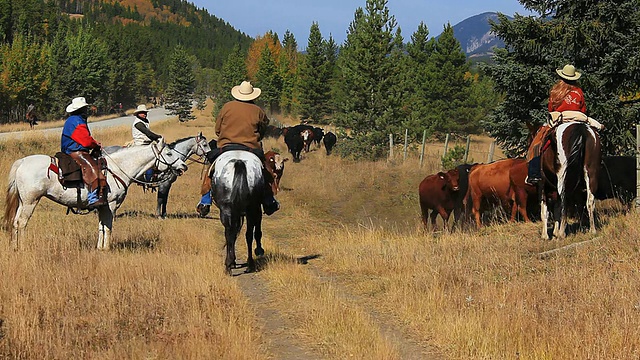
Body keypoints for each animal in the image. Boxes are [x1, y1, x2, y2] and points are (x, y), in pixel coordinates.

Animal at [3, 138, 189, 250]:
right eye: (169, 153)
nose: (184, 166)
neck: (118, 169)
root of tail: (22, 162)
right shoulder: (111, 205)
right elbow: (108, 227)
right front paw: (107, 248)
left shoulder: (102, 206)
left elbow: (101, 226)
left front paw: (99, 248)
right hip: (30, 202)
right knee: (21, 223)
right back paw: (22, 248)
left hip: (22, 202)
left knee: (14, 222)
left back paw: (14, 247)